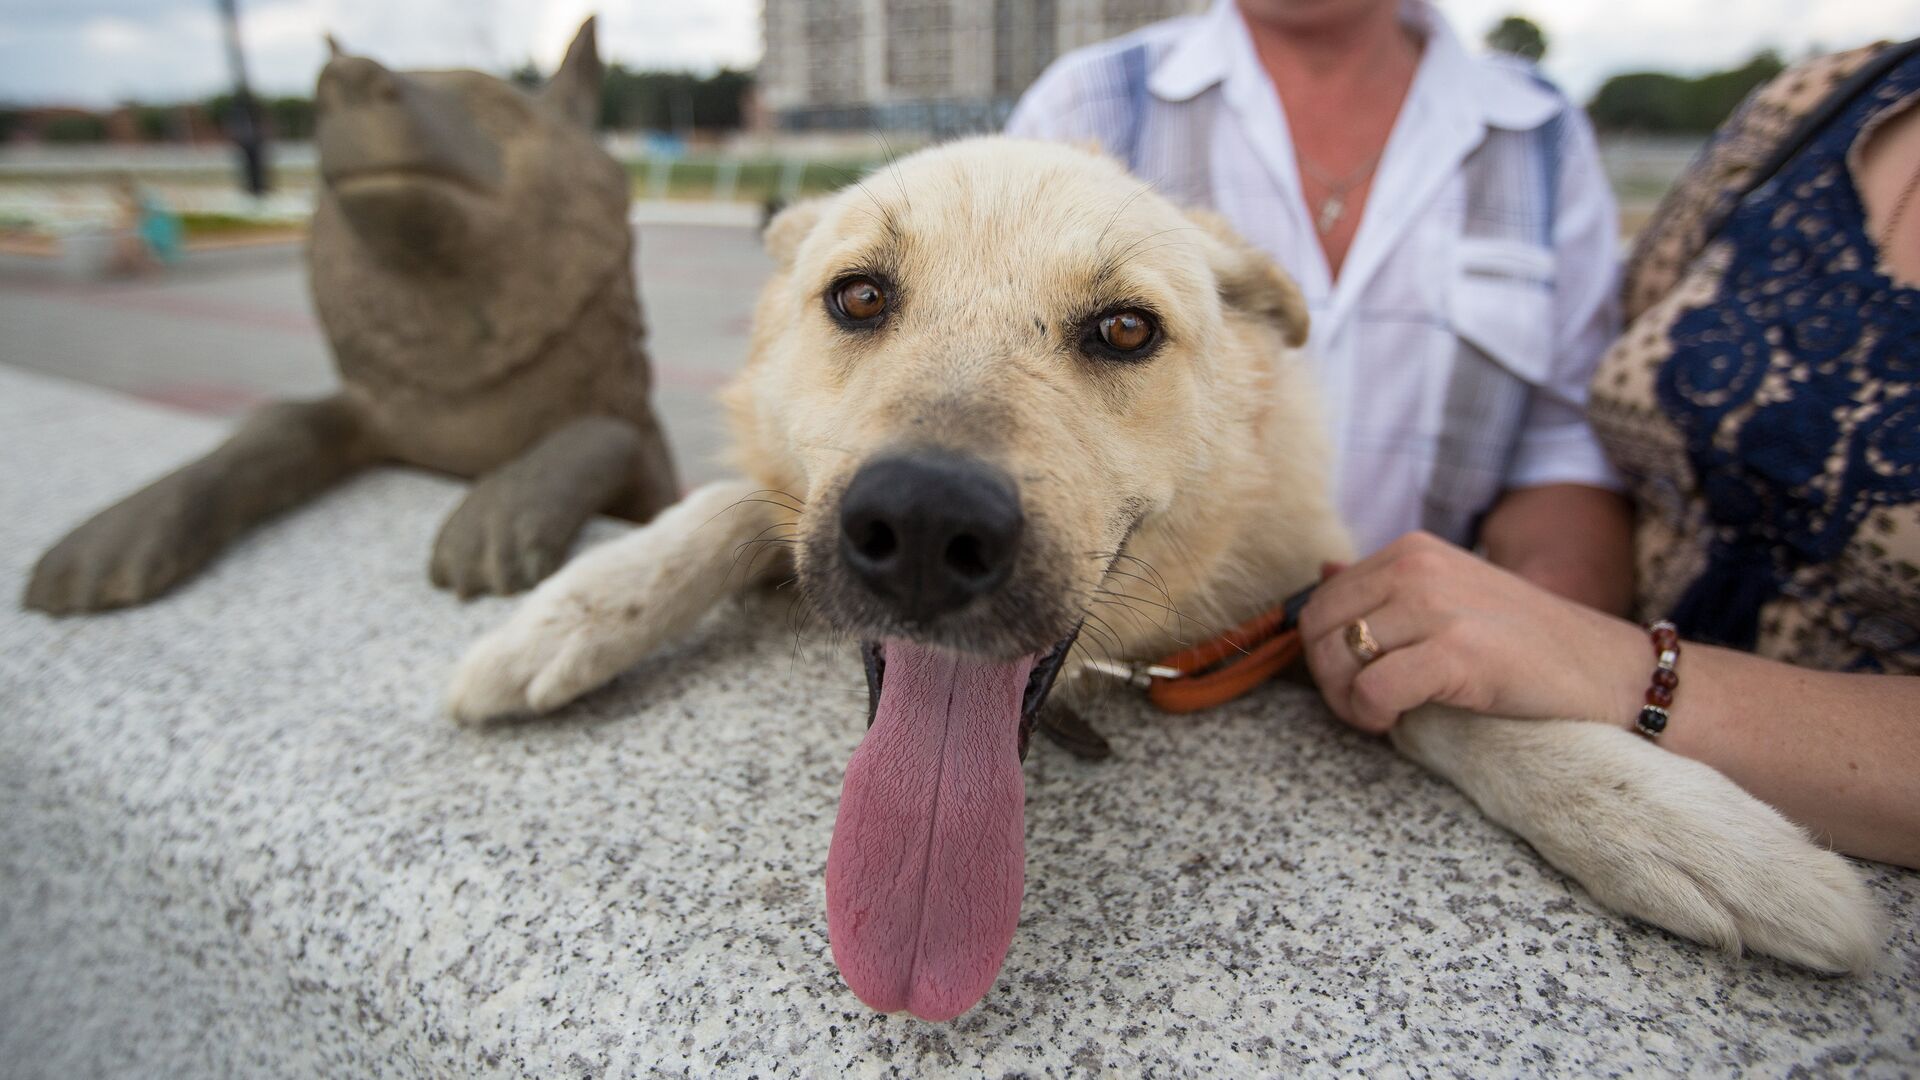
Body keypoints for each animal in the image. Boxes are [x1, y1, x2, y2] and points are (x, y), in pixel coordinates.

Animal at [445, 134, 1873, 1014]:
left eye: (1125, 329)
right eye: (857, 298)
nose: (924, 526)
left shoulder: (1317, 591)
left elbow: (1450, 689)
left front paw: (1678, 825)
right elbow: (729, 505)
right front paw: (565, 615)